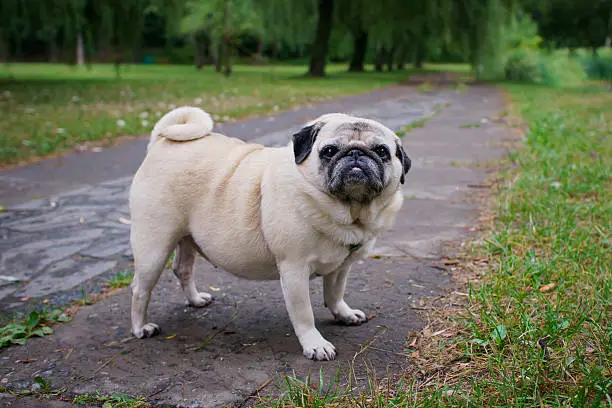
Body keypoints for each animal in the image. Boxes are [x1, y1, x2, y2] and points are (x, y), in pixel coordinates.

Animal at [131, 106, 414, 360]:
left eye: (382, 151)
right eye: (329, 151)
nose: (356, 154)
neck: (348, 212)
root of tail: (160, 142)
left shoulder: (340, 268)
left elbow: (335, 294)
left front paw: (344, 314)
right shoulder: (294, 270)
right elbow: (304, 314)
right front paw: (315, 345)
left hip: (188, 239)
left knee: (183, 269)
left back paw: (195, 300)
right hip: (154, 248)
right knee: (139, 289)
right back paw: (140, 328)